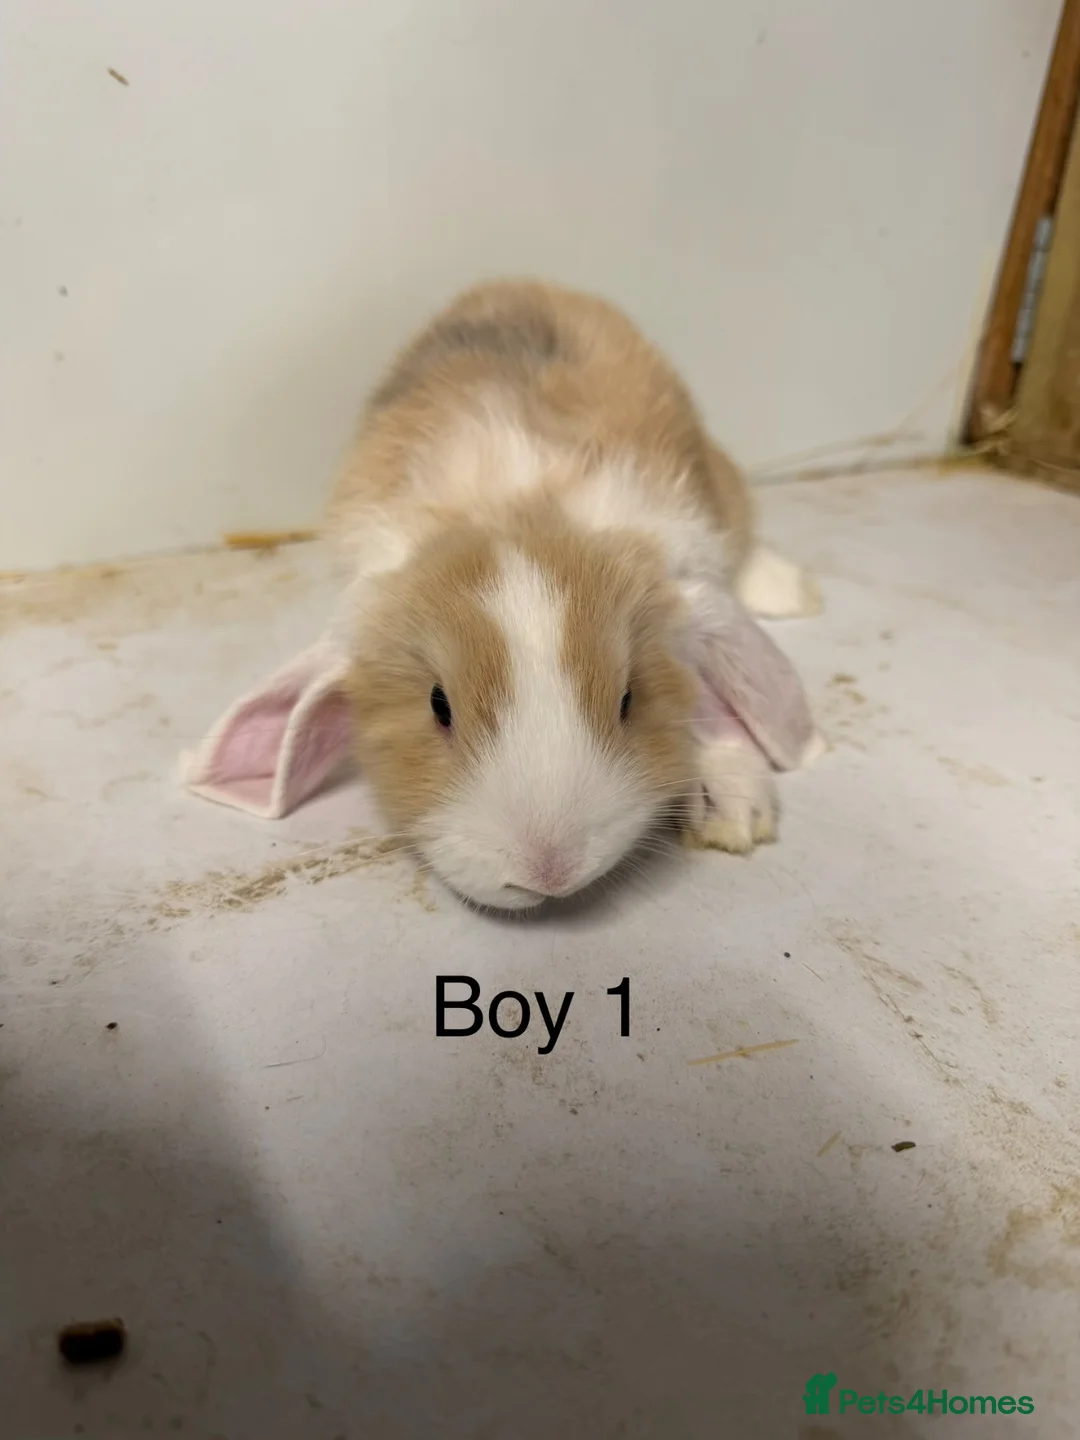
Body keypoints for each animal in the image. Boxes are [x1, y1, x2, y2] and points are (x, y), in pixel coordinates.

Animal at [181, 279, 823, 910]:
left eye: (627, 699)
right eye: (438, 706)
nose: (550, 873)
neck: (516, 511)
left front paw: (731, 807)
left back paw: (787, 591)